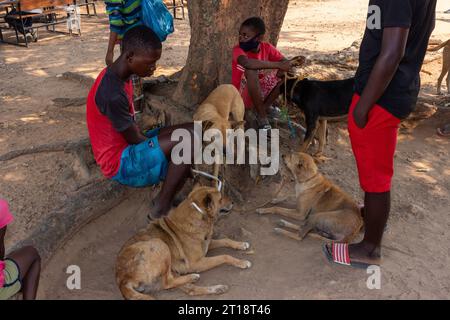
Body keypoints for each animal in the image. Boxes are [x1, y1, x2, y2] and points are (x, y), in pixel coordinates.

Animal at [115, 185, 250, 300]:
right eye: (221, 198)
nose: (233, 202)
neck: (198, 215)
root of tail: (122, 280)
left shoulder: (208, 244)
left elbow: (225, 240)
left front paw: (241, 244)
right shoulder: (196, 263)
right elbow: (224, 256)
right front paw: (242, 262)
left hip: (172, 269)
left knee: (191, 290)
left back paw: (217, 288)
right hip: (160, 245)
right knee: (167, 282)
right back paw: (193, 276)